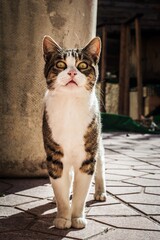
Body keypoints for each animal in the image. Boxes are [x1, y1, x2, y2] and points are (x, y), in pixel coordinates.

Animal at [42, 35, 106, 229]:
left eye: (82, 65)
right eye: (61, 64)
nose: (71, 72)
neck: (70, 106)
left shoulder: (87, 157)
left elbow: (81, 193)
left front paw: (77, 217)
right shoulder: (55, 156)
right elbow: (61, 190)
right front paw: (63, 218)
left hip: (97, 143)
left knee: (100, 165)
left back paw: (100, 192)